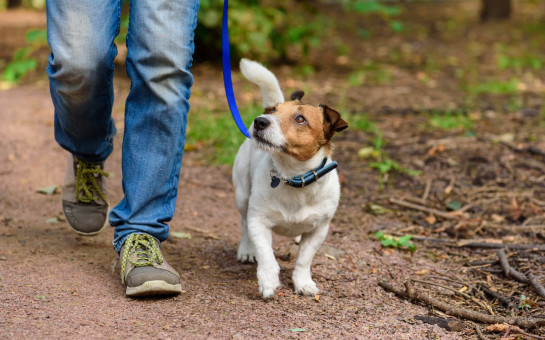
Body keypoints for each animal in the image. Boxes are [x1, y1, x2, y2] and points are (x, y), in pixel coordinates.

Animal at [232, 58, 346, 298]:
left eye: (300, 119)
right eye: (274, 111)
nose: (260, 121)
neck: (292, 176)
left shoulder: (319, 230)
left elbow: (304, 260)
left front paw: (303, 283)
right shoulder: (258, 221)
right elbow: (266, 254)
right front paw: (268, 280)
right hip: (242, 195)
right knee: (244, 224)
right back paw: (247, 249)